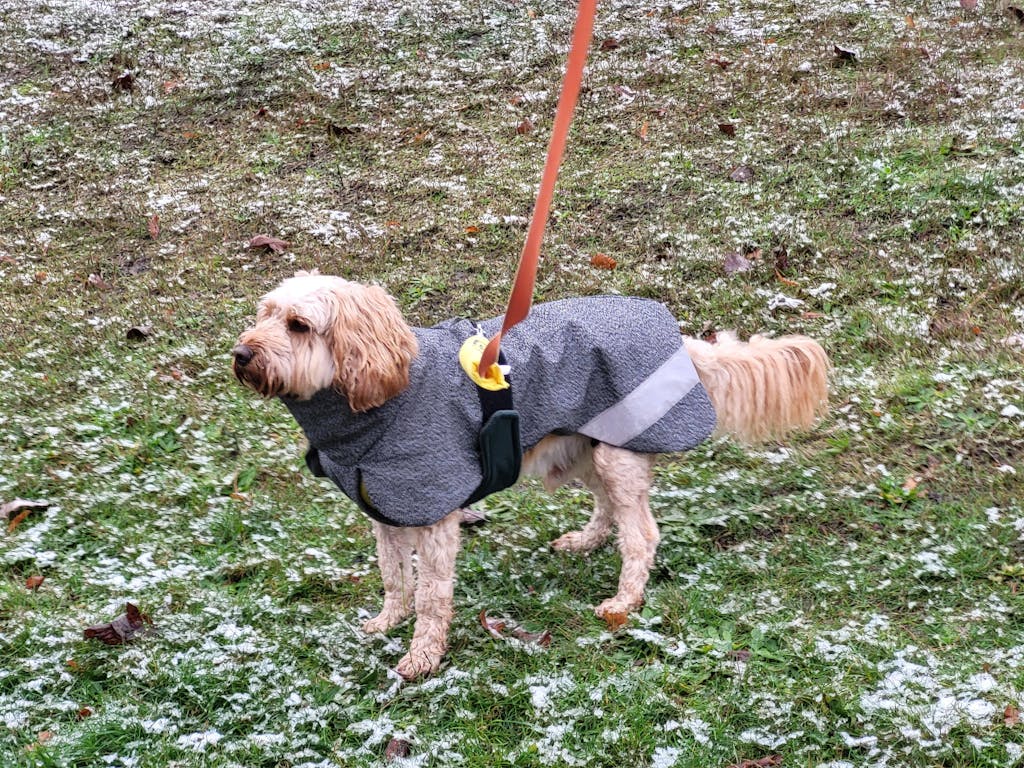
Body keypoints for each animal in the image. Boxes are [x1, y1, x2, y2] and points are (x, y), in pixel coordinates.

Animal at [233, 271, 829, 679]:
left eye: (299, 326)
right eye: (265, 313)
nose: (241, 354)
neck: (382, 396)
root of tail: (682, 339)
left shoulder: (435, 518)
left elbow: (431, 596)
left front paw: (423, 656)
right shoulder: (386, 511)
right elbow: (394, 578)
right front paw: (386, 622)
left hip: (615, 453)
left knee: (641, 534)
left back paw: (624, 602)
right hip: (584, 448)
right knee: (608, 509)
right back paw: (586, 542)